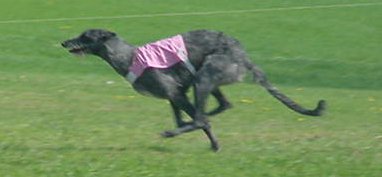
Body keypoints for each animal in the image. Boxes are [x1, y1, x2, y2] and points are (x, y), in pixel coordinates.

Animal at [62, 29, 326, 151]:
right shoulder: (175, 93)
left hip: (207, 74)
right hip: (207, 78)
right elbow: (184, 117)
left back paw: (177, 131)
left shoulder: (174, 91)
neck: (128, 57)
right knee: (221, 105)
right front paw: (212, 142)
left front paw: (208, 138)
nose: (64, 42)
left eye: (86, 36)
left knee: (202, 116)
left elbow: (196, 120)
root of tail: (244, 56)